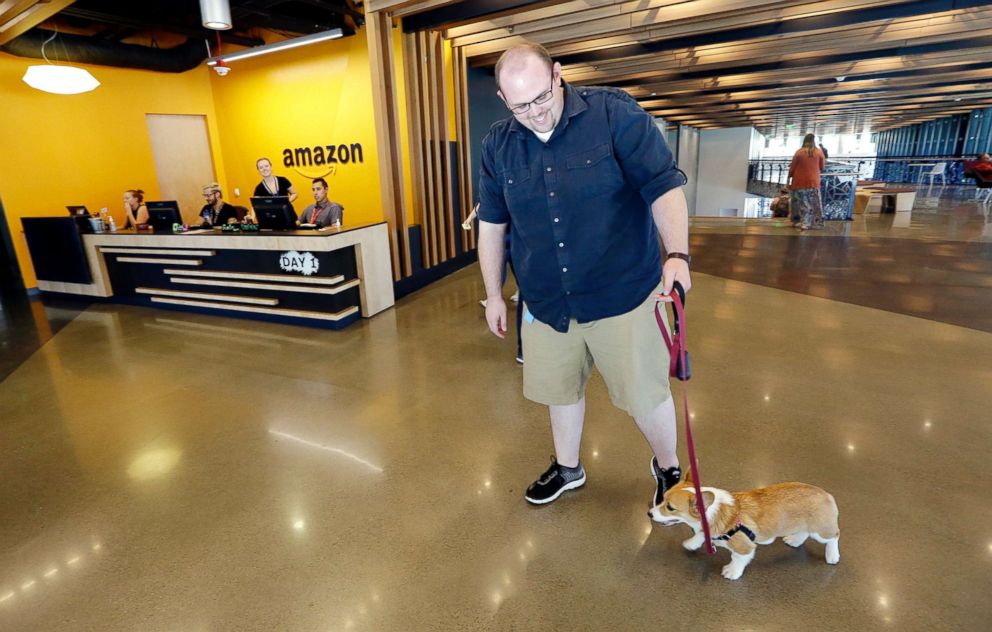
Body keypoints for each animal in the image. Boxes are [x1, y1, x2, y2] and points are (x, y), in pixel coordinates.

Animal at [652, 470, 836, 584]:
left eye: (670, 508)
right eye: (663, 498)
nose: (649, 514)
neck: (715, 513)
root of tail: (826, 494)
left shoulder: (744, 546)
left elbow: (737, 559)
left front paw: (732, 572)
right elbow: (700, 535)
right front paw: (692, 543)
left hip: (822, 531)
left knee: (833, 537)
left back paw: (832, 556)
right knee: (804, 532)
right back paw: (794, 541)